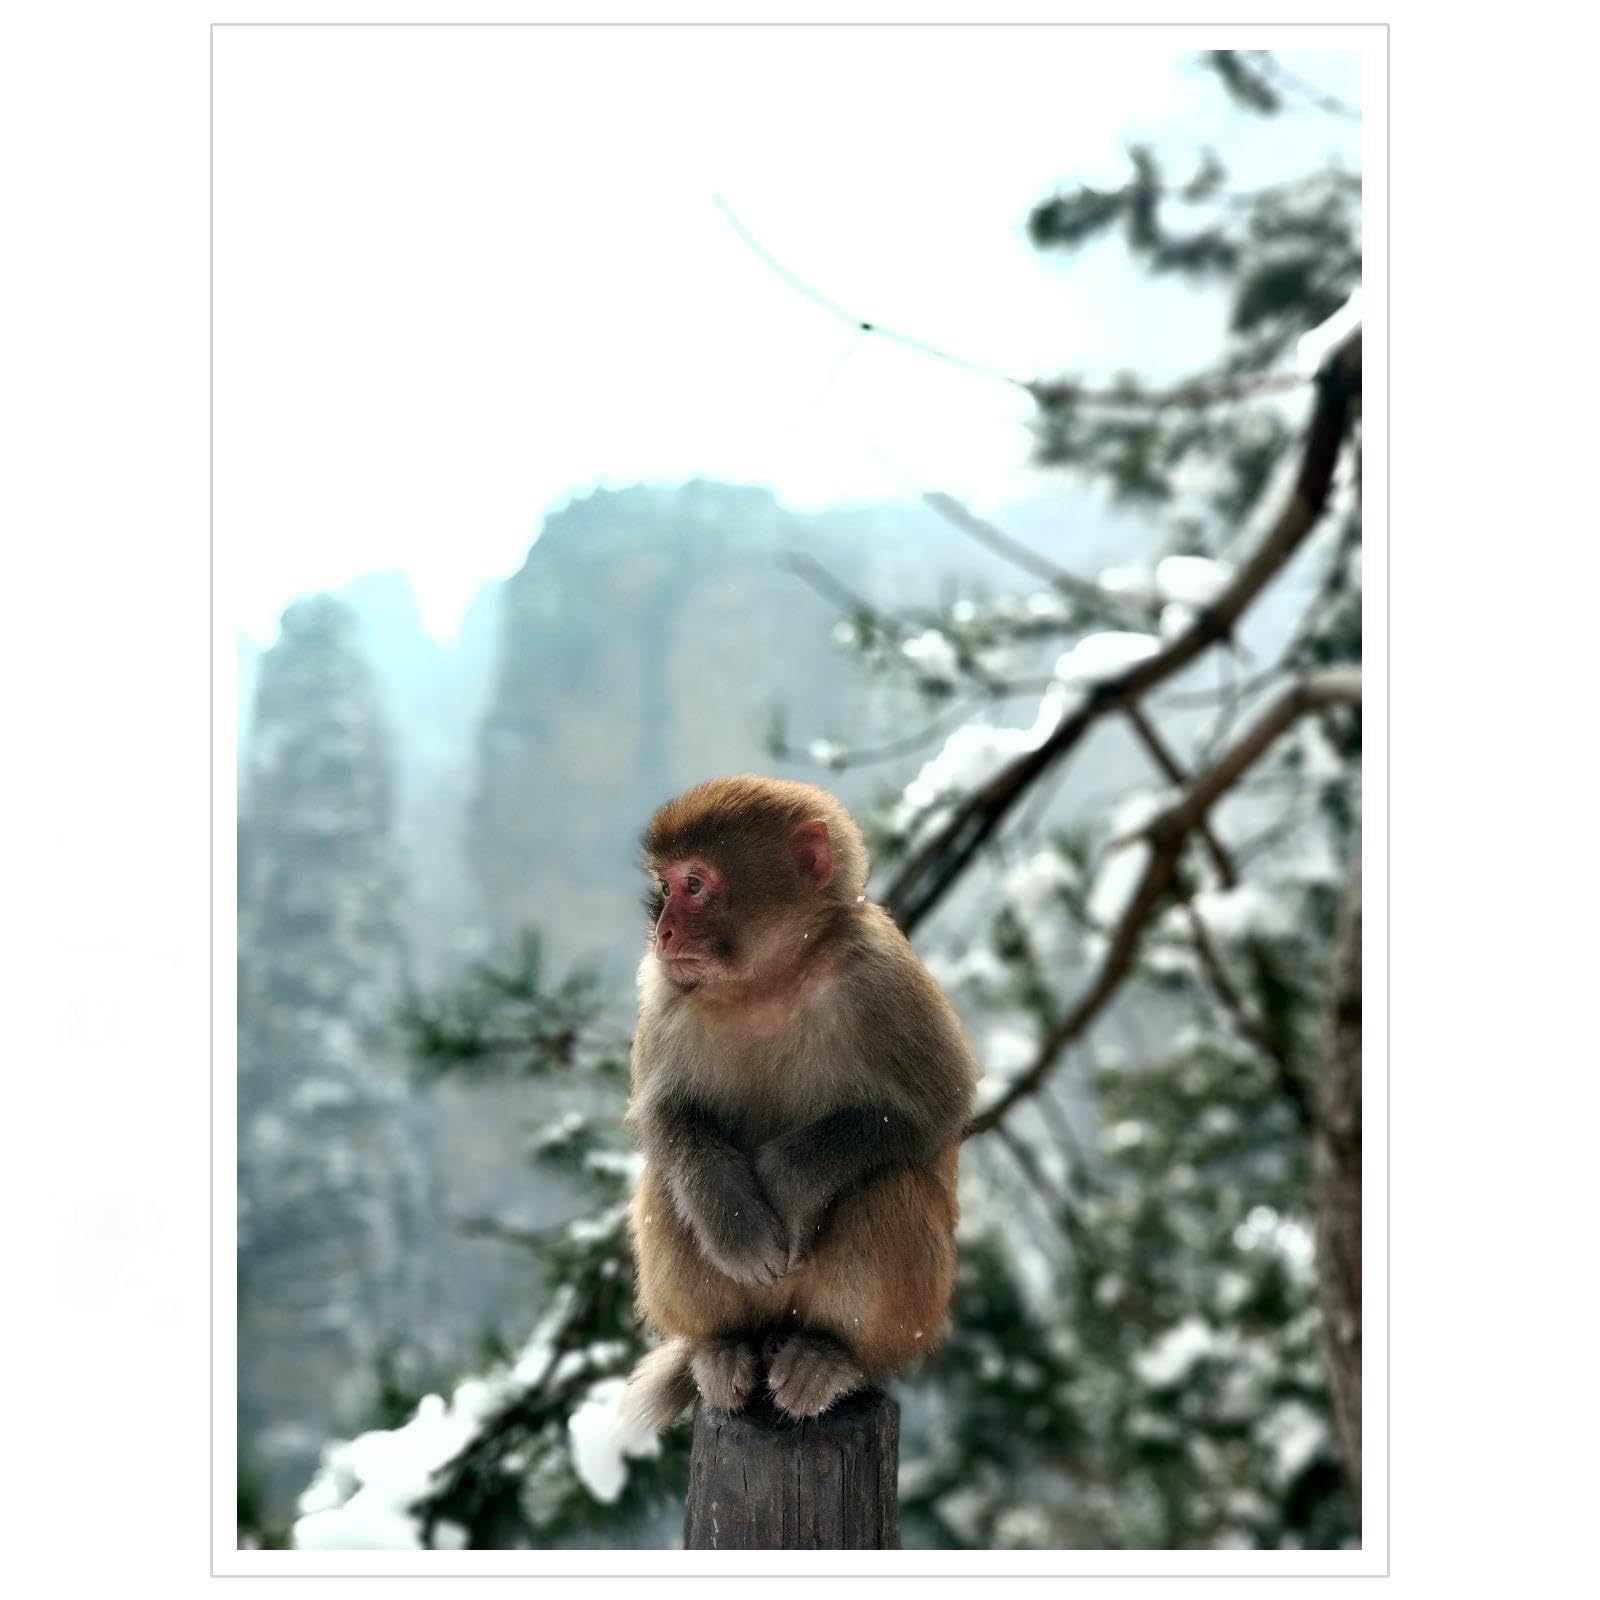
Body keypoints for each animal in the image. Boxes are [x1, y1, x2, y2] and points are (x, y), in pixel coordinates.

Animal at [617, 775, 978, 1433]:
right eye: (666, 888)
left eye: (695, 885)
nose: (664, 934)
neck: (769, 979)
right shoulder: (663, 992)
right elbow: (665, 1116)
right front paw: (734, 1219)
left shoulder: (878, 973)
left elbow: (939, 1104)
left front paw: (789, 1183)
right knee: (666, 1183)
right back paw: (720, 1347)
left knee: (886, 1183)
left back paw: (836, 1359)